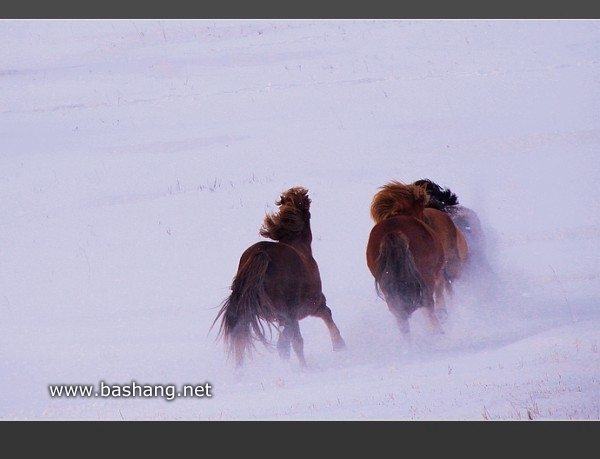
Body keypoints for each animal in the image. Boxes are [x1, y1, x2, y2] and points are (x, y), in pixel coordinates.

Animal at [211, 187, 344, 370]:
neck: (298, 244)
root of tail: (262, 254)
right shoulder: (312, 304)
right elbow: (326, 315)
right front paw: (340, 345)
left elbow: (284, 342)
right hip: (292, 312)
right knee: (297, 341)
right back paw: (305, 368)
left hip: (249, 314)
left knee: (240, 343)